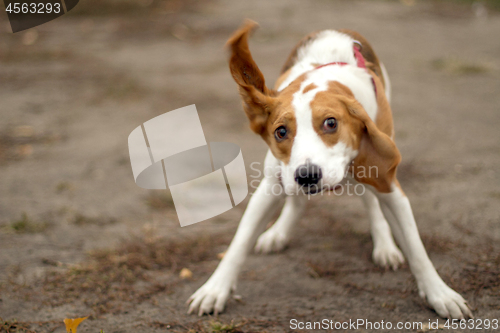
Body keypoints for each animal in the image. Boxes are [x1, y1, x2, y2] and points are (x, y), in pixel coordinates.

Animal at [188, 20, 472, 320]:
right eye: (280, 132)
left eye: (331, 123)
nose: (307, 176)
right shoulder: (271, 185)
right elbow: (239, 244)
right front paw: (215, 289)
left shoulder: (390, 185)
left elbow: (417, 249)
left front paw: (440, 293)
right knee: (298, 202)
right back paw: (280, 231)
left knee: (371, 202)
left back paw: (384, 245)